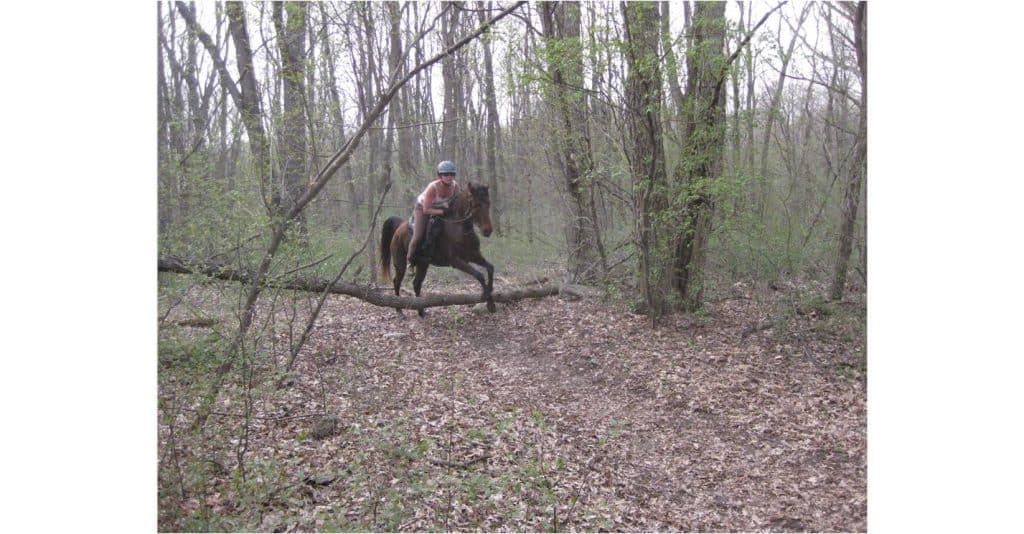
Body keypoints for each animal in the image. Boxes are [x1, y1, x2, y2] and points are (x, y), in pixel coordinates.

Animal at [380, 182, 496, 316]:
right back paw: (399, 310)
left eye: (488, 203)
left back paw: (421, 311)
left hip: (423, 264)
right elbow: (479, 275)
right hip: (400, 263)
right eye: (476, 205)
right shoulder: (456, 261)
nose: (487, 231)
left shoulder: (474, 255)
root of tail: (399, 227)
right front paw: (486, 297)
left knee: (416, 284)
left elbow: (490, 268)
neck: (460, 229)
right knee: (397, 282)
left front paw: (491, 301)